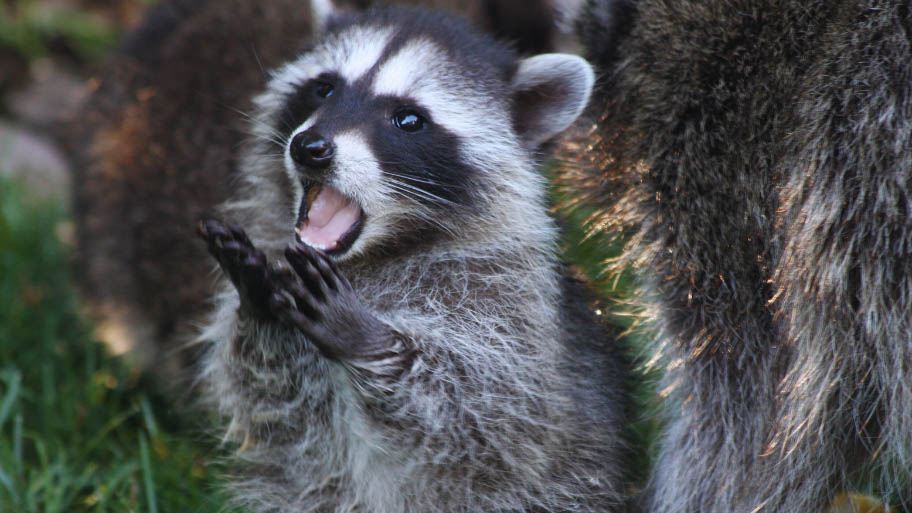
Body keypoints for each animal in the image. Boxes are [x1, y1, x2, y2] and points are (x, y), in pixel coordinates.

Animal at [196, 4, 632, 512]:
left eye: (408, 120)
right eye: (324, 88)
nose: (310, 148)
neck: (371, 253)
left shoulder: (510, 311)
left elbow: (486, 416)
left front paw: (366, 337)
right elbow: (267, 394)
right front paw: (259, 301)